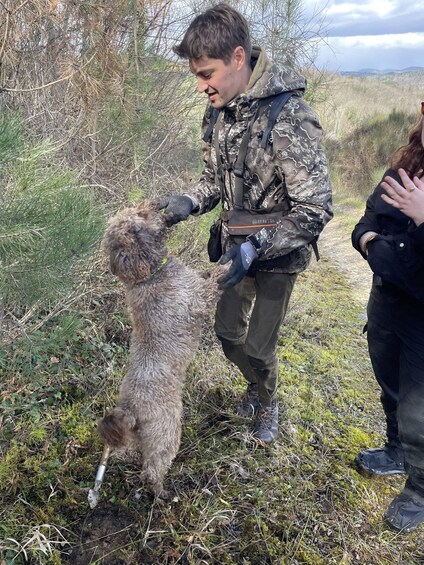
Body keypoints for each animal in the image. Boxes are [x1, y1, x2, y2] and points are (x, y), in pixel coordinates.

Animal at [98, 199, 224, 498]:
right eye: (141, 215)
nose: (159, 203)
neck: (151, 274)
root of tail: (129, 408)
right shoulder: (199, 299)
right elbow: (215, 280)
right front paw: (236, 262)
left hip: (139, 437)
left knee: (134, 453)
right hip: (165, 433)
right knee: (152, 470)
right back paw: (163, 494)